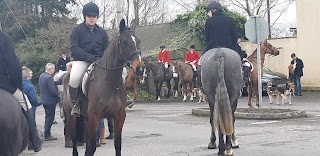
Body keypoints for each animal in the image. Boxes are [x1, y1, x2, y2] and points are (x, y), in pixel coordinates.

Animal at [62, 19, 142, 156]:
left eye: (138, 41)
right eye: (124, 42)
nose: (140, 69)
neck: (111, 81)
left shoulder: (119, 115)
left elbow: (117, 145)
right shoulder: (95, 116)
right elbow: (91, 147)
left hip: (86, 116)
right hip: (72, 115)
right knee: (74, 140)